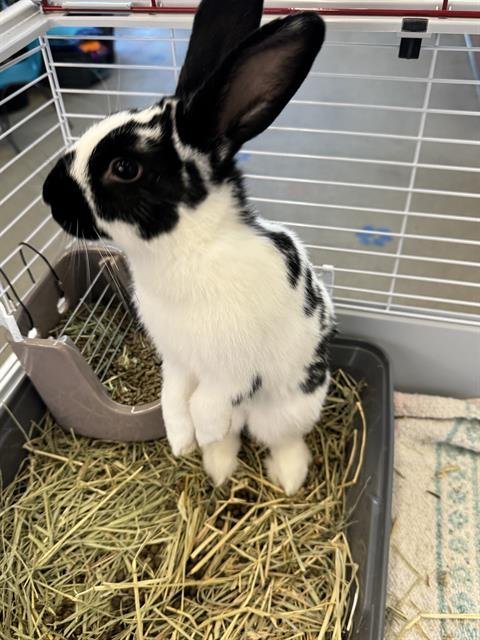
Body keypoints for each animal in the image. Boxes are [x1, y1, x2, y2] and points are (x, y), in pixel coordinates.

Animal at [42, 0, 336, 496]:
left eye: (125, 167)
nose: (47, 194)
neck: (182, 251)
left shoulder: (235, 369)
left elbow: (207, 403)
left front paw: (204, 431)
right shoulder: (176, 359)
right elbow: (173, 398)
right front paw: (182, 442)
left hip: (290, 406)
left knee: (282, 437)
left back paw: (287, 477)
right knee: (237, 435)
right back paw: (217, 467)